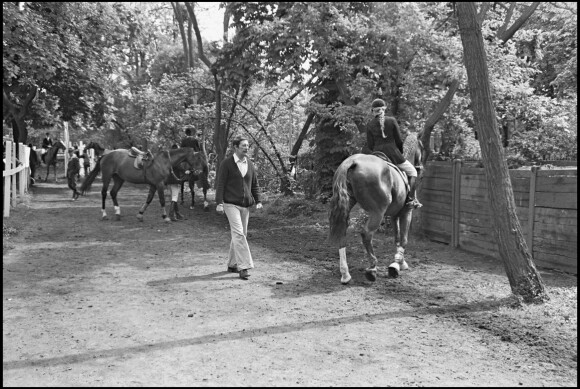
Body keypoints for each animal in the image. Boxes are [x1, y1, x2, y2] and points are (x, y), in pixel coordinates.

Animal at [78, 146, 207, 221]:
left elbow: (149, 199)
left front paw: (140, 214)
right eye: (198, 159)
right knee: (104, 193)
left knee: (113, 193)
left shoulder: (154, 185)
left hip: (119, 178)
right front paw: (165, 217)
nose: (199, 172)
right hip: (107, 176)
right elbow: (162, 200)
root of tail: (105, 155)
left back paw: (118, 213)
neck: (164, 161)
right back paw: (104, 214)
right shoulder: (159, 184)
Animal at [328, 153, 414, 284]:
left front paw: (399, 262)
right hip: (377, 212)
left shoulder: (394, 215)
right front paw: (397, 264)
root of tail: (352, 161)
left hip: (347, 204)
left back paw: (345, 274)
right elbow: (404, 239)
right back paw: (372, 268)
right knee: (366, 234)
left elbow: (397, 238)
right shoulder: (406, 212)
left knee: (342, 232)